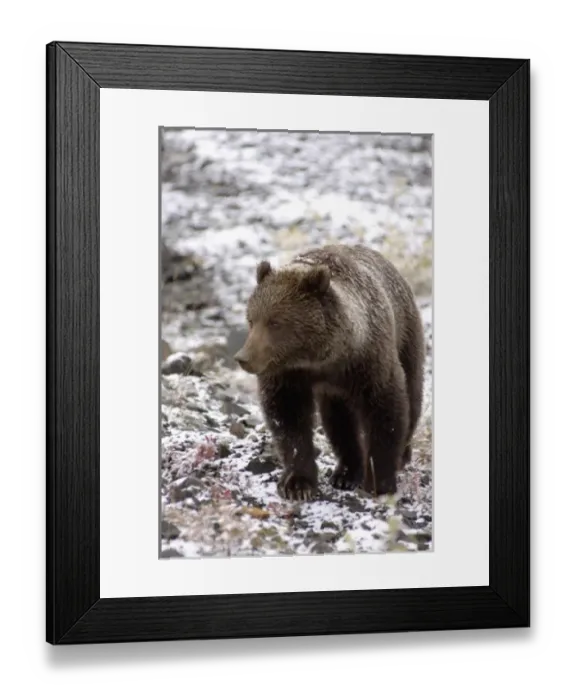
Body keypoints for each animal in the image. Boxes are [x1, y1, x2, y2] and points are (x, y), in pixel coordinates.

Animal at [233, 243, 425, 502]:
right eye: (251, 319)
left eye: (275, 322)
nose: (244, 358)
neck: (323, 359)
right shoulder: (288, 374)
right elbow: (288, 418)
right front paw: (297, 484)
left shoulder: (368, 362)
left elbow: (385, 410)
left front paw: (379, 482)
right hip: (335, 394)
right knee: (339, 422)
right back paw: (345, 473)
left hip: (406, 336)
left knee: (412, 396)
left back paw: (401, 456)